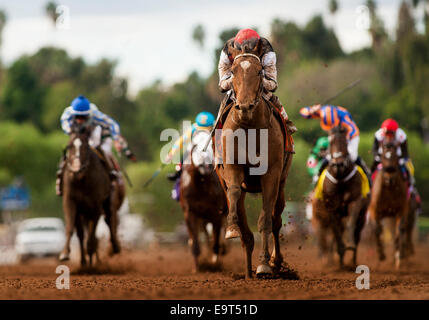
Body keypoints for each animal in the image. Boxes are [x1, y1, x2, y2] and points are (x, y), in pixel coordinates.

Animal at [58, 124, 123, 266]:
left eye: (86, 147)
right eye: (69, 146)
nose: (76, 169)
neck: (82, 180)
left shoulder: (96, 206)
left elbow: (92, 236)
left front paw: (91, 256)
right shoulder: (70, 201)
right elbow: (71, 228)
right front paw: (65, 253)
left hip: (106, 204)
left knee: (109, 221)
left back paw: (114, 248)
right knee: (82, 233)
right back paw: (84, 261)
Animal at [179, 130, 229, 272]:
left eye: (211, 144)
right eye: (195, 145)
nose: (206, 165)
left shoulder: (217, 213)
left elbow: (216, 241)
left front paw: (215, 262)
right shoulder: (190, 213)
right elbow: (196, 242)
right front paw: (197, 267)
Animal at [216, 48, 292, 278]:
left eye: (259, 71)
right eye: (233, 71)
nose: (245, 106)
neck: (249, 128)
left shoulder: (272, 175)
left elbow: (266, 220)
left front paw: (265, 264)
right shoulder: (232, 167)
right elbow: (234, 192)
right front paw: (231, 228)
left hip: (282, 185)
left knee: (276, 220)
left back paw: (275, 261)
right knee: (246, 234)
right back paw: (247, 271)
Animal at [310, 126, 368, 268]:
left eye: (345, 142)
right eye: (331, 141)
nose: (338, 164)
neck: (340, 178)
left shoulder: (355, 201)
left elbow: (350, 223)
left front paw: (349, 245)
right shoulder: (330, 207)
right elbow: (335, 230)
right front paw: (339, 251)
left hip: (362, 215)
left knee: (357, 233)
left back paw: (352, 260)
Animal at [368, 139, 408, 268]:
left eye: (396, 156)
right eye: (383, 157)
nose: (389, 177)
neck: (390, 188)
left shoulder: (400, 210)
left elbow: (398, 232)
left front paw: (398, 258)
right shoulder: (375, 210)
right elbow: (377, 230)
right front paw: (381, 255)